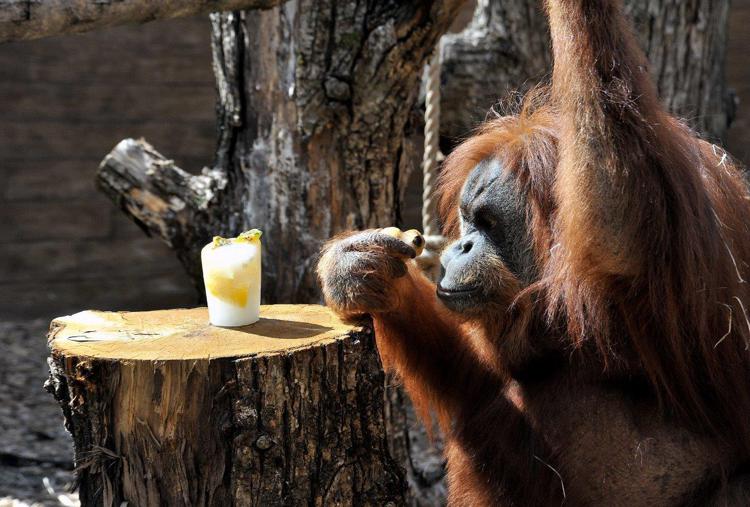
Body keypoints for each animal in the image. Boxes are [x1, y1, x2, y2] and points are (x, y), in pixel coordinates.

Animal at [317, 0, 750, 504]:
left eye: (486, 223)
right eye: (467, 221)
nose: (460, 245)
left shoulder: (661, 239)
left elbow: (615, 202)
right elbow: (480, 379)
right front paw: (362, 270)